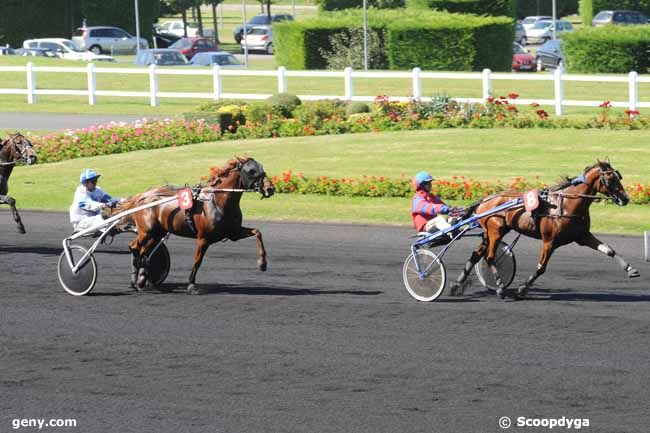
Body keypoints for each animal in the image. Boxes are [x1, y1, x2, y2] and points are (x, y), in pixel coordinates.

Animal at [116, 155, 274, 294]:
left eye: (262, 168)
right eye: (251, 171)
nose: (270, 189)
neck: (218, 201)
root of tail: (143, 195)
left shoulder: (233, 233)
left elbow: (257, 232)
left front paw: (262, 264)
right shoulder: (203, 238)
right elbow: (197, 261)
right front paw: (191, 284)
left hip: (157, 233)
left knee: (144, 252)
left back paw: (142, 279)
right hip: (146, 231)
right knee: (134, 248)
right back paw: (135, 280)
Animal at [450, 160, 636, 298]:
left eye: (618, 177)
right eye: (610, 179)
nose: (625, 199)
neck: (566, 205)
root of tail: (485, 199)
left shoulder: (582, 236)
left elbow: (609, 250)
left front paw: (630, 269)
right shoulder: (549, 240)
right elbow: (541, 267)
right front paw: (522, 289)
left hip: (491, 232)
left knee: (476, 254)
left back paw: (457, 285)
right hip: (495, 230)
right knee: (489, 257)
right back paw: (501, 287)